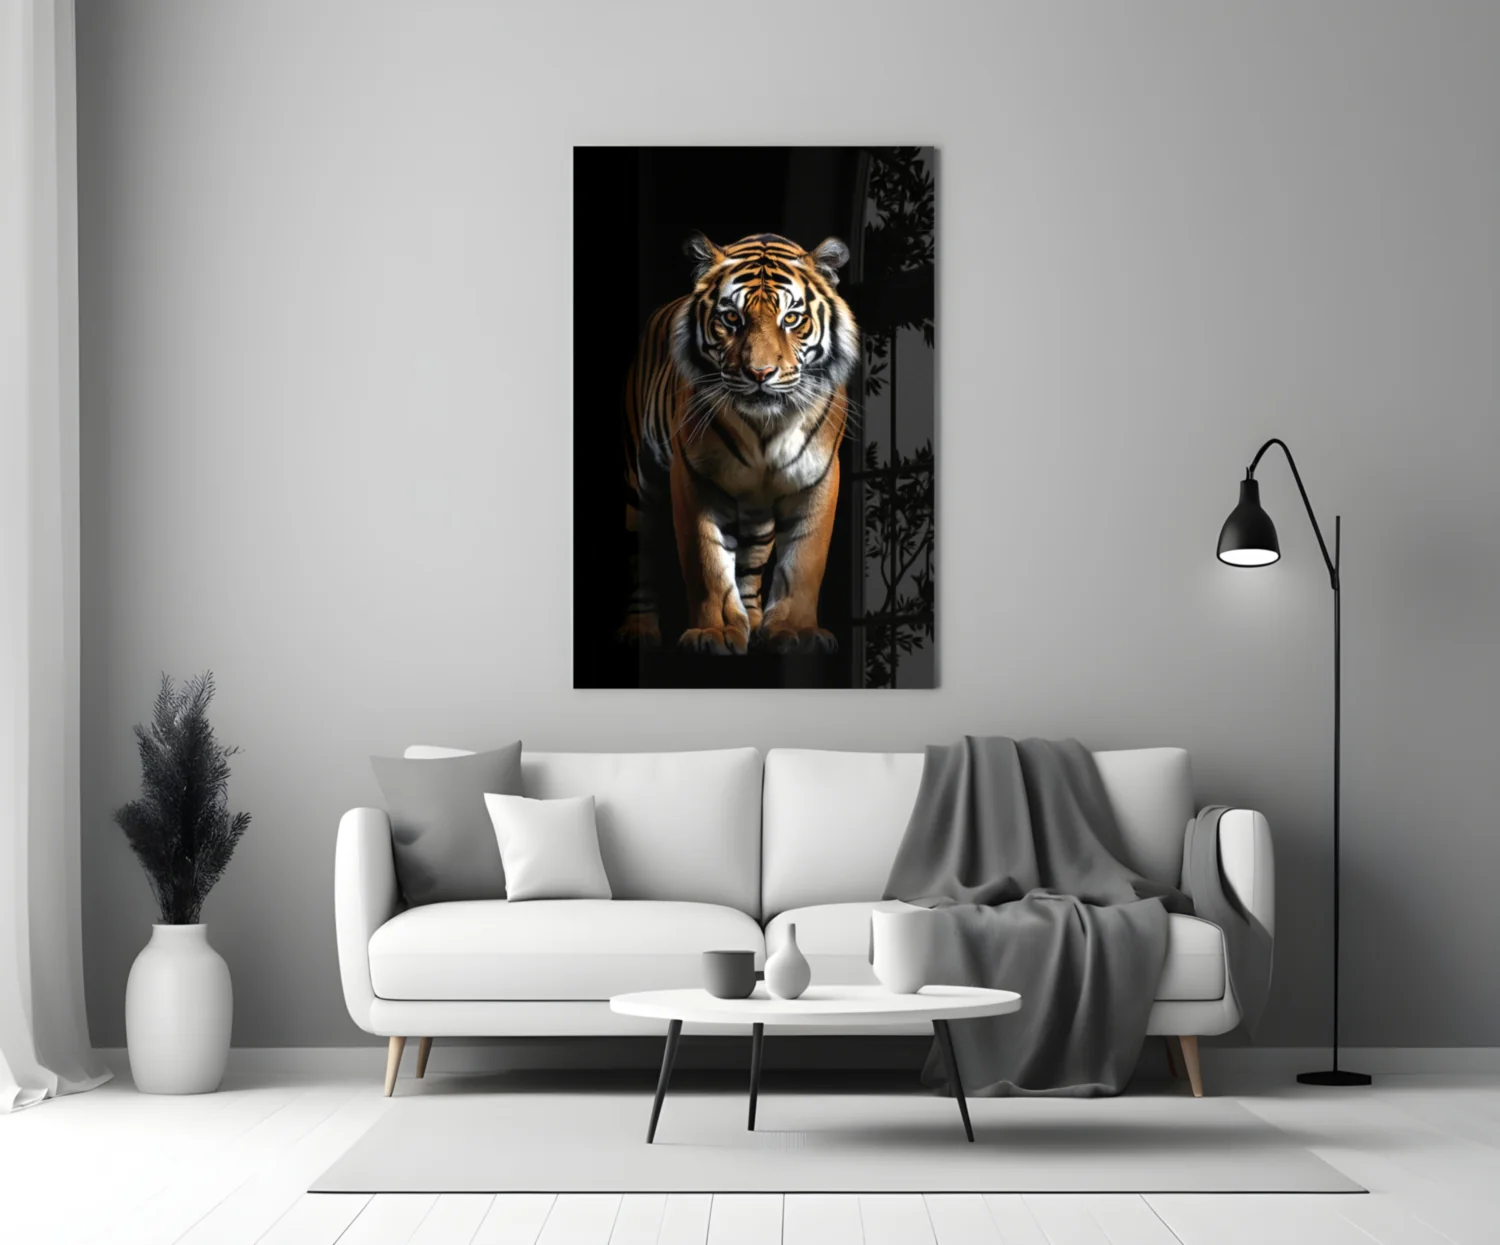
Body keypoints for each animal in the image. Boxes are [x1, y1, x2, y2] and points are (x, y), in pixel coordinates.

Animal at [619, 232, 860, 656]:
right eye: (731, 318)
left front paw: (796, 631)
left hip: (757, 510)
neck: (767, 427)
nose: (760, 373)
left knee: (750, 563)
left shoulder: (818, 476)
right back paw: (640, 631)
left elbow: (804, 559)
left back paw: (755, 622)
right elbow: (707, 563)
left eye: (791, 318)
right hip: (641, 481)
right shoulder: (693, 477)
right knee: (641, 555)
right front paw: (712, 633)